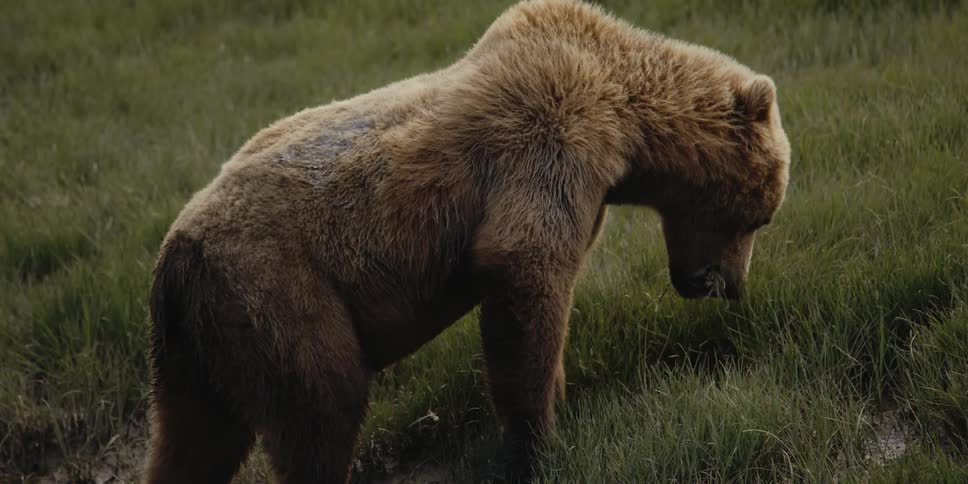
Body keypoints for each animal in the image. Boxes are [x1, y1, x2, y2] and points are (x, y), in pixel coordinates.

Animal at [142, 0, 791, 482]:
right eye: (759, 216)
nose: (727, 286)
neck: (628, 123)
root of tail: (176, 257)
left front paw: (561, 400)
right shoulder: (551, 137)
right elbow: (523, 273)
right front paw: (538, 442)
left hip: (196, 351)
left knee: (192, 442)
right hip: (279, 295)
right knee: (321, 407)